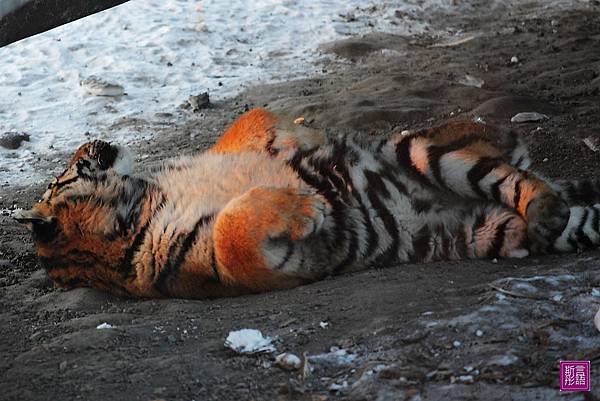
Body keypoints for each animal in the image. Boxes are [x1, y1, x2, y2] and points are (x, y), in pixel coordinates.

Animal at [11, 108, 600, 298]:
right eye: (64, 172)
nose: (90, 142)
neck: (139, 202)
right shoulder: (237, 268)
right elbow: (230, 234)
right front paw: (306, 205)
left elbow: (247, 125)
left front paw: (295, 143)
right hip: (493, 230)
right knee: (540, 204)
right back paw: (546, 213)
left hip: (416, 151)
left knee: (513, 170)